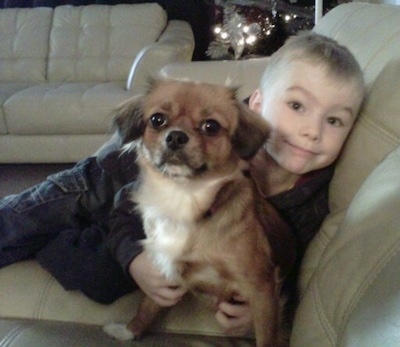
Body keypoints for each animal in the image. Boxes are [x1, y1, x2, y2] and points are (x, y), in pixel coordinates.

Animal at [103, 80, 296, 346]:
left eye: (210, 126)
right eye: (157, 120)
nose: (175, 136)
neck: (184, 197)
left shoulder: (261, 288)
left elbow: (266, 337)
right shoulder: (168, 271)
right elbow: (147, 305)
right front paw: (130, 330)